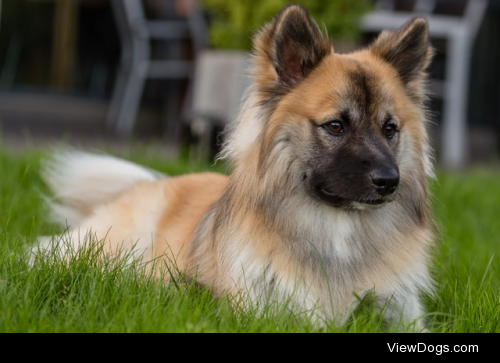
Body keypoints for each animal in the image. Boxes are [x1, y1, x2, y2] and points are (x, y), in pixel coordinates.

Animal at [33, 5, 436, 330]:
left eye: (389, 129)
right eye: (336, 125)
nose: (389, 181)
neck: (337, 234)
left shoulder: (398, 312)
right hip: (117, 246)